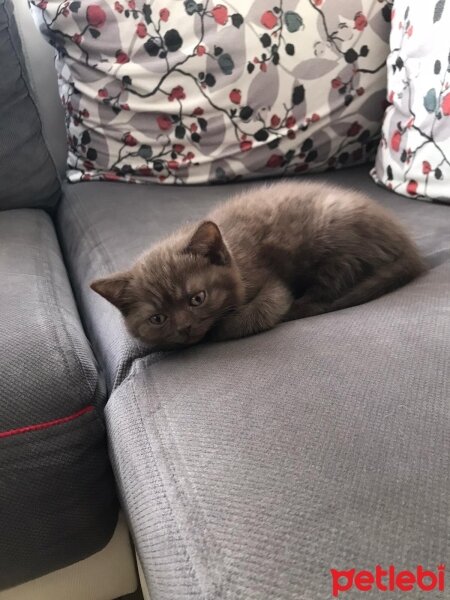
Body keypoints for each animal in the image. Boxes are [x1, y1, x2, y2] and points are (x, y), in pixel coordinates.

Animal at [90, 184, 426, 352]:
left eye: (197, 299)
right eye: (158, 318)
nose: (185, 327)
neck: (234, 256)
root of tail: (407, 244)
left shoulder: (267, 282)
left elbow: (254, 315)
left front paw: (219, 329)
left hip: (334, 239)